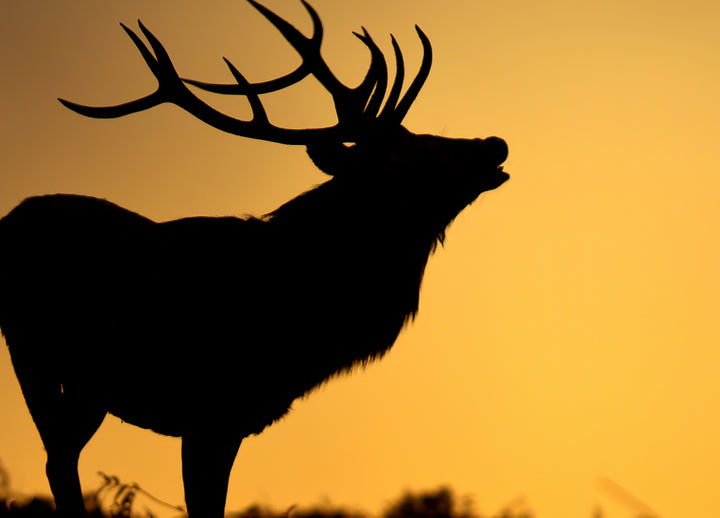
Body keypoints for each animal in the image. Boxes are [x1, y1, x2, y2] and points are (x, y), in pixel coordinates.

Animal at [0, 1, 509, 517]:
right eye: (417, 153)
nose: (493, 144)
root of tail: (8, 222)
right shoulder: (211, 411)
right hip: (55, 359)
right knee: (60, 461)